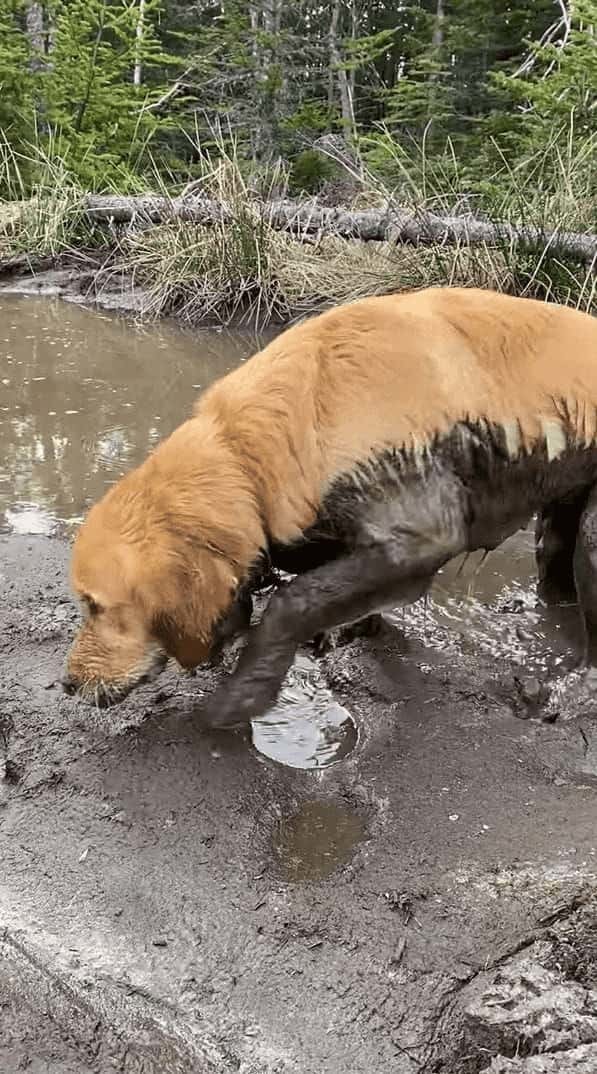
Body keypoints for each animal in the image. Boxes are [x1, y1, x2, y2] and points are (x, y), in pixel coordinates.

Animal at [63, 287, 597, 730]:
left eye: (96, 605)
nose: (67, 684)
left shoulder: (419, 538)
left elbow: (290, 600)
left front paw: (241, 698)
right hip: (558, 527)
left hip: (592, 537)